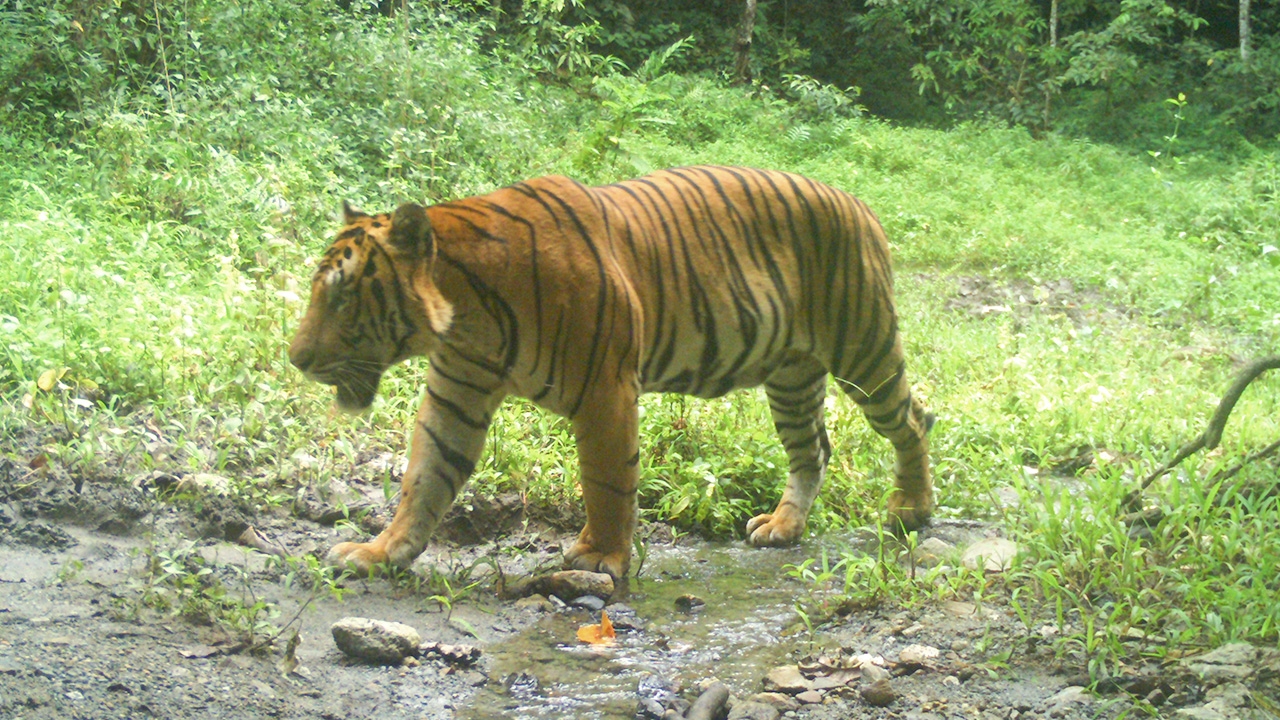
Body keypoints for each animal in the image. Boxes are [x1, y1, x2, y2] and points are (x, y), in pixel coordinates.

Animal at [290, 163, 931, 576]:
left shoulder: (605, 391)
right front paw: (380, 553)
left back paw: (912, 509)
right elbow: (423, 480)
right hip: (792, 376)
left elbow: (605, 480)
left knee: (914, 419)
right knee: (813, 449)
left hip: (863, 350)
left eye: (343, 296)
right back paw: (784, 526)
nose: (296, 359)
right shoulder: (455, 395)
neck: (466, 313)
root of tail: (859, 203)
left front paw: (600, 556)